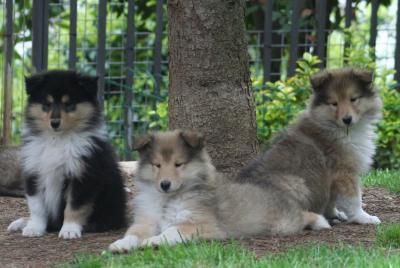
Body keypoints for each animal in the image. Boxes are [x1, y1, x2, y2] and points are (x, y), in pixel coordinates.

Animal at [7, 69, 126, 239]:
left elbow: (74, 206)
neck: (58, 139)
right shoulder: (33, 171)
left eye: (69, 105)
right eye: (47, 104)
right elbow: (37, 206)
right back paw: (22, 222)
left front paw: (70, 230)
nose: (54, 123)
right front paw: (34, 228)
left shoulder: (83, 174)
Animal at [236, 67, 382, 226]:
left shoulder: (330, 179)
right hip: (295, 183)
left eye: (353, 99)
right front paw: (365, 218)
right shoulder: (343, 172)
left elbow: (331, 200)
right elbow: (354, 199)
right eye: (334, 103)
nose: (347, 119)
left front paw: (335, 213)